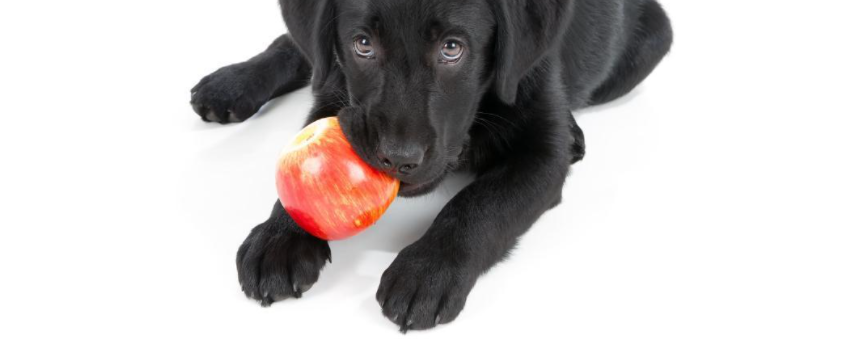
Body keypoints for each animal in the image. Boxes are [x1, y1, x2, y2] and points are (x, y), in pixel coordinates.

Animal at [191, 0, 672, 334]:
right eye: (363, 44)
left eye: (452, 49)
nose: (399, 158)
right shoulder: (339, 94)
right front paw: (279, 236)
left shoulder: (541, 153)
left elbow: (481, 204)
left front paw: (427, 269)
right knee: (298, 46)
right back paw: (230, 84)